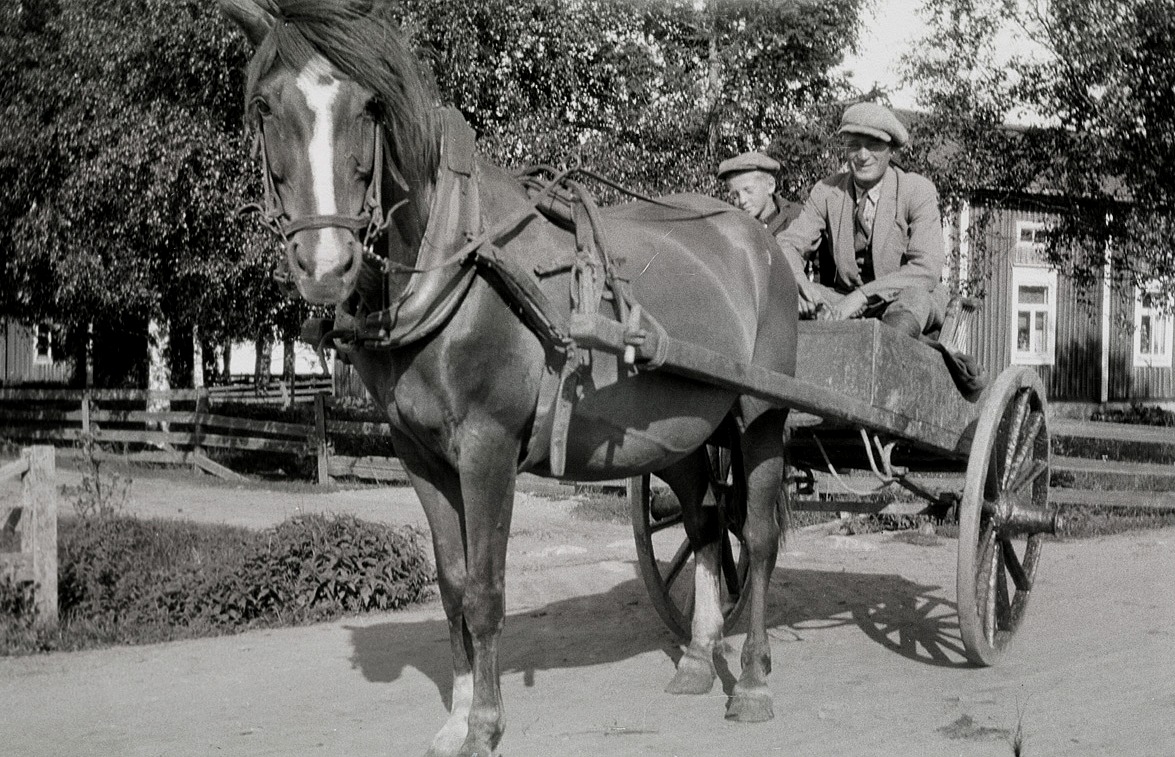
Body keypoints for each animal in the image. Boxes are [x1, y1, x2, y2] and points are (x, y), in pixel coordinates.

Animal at [216, 2, 794, 752]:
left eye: (371, 106)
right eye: (264, 105)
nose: (326, 264)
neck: (454, 259)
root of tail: (756, 240)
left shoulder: (487, 448)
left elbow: (486, 590)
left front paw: (485, 724)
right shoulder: (420, 455)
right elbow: (452, 583)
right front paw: (456, 715)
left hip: (759, 415)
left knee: (756, 533)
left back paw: (751, 681)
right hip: (681, 433)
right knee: (703, 526)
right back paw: (697, 659)